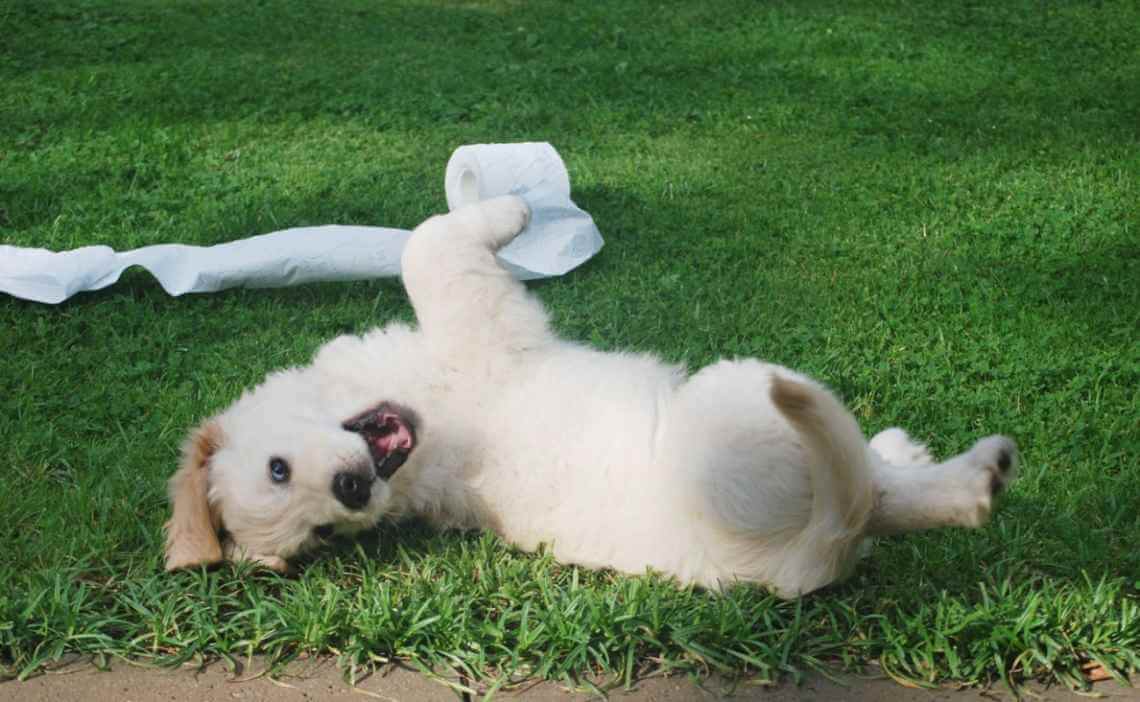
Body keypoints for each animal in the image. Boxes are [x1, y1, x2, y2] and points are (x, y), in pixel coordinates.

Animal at [165, 197, 1021, 597]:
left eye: (279, 470)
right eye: (321, 531)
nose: (350, 494)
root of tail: (799, 560)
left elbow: (426, 240)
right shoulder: (478, 318)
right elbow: (428, 244)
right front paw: (512, 211)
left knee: (882, 486)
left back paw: (912, 451)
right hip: (741, 403)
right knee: (880, 492)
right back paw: (976, 475)